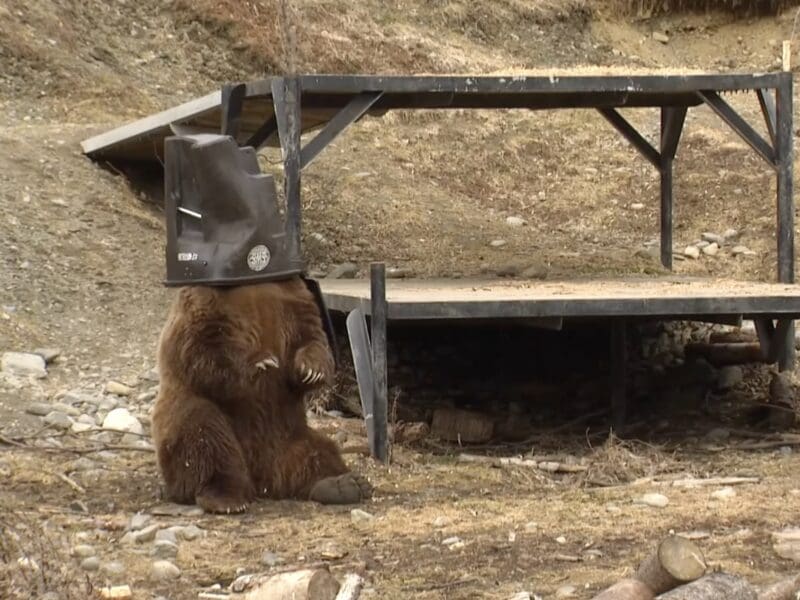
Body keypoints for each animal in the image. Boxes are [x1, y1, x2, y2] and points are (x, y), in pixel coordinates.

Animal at [151, 276, 372, 513]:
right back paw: (225, 498)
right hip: (189, 410)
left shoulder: (294, 298)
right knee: (203, 432)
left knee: (319, 452)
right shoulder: (206, 304)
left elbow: (311, 335)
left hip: (290, 434)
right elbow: (201, 347)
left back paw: (345, 484)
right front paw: (261, 363)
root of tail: (262, 479)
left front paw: (311, 369)